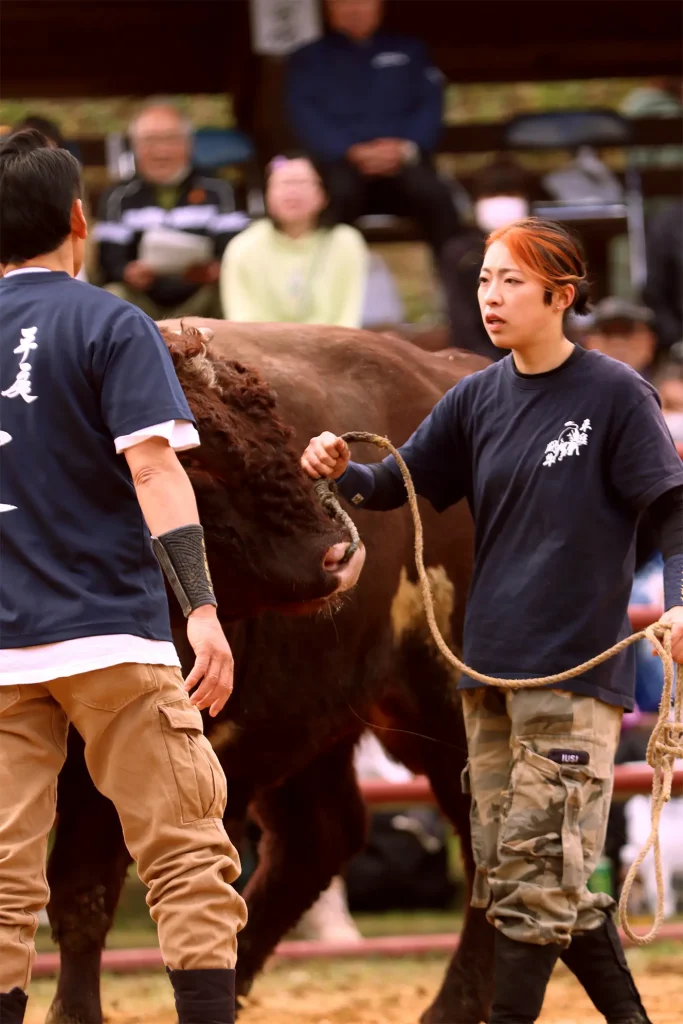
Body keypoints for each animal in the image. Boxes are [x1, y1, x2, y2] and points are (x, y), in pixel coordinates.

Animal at [44, 323, 491, 1024]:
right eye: (194, 459)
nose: (338, 556)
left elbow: (81, 899)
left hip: (450, 706)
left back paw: (452, 1006)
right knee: (319, 839)